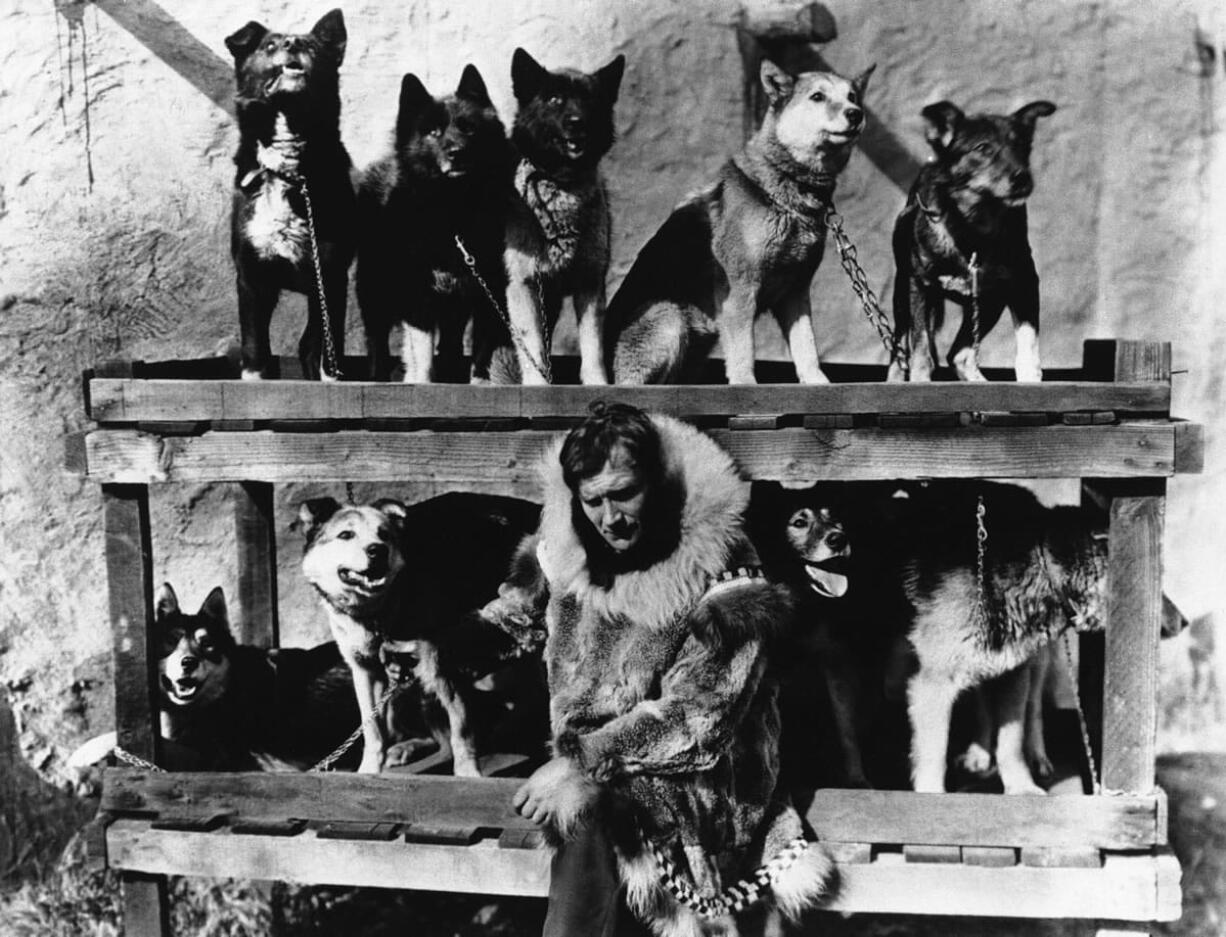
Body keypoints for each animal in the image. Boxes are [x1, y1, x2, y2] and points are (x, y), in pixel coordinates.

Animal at [224, 7, 355, 380]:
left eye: (311, 46)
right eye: (270, 45)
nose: (292, 43)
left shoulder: (331, 274)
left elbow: (329, 348)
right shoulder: (252, 275)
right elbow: (255, 347)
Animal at [296, 493, 541, 770]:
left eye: (383, 535)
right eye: (346, 535)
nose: (377, 550)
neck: (380, 612)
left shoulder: (444, 665)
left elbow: (462, 735)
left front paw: (469, 773)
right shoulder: (366, 671)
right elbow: (373, 733)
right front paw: (369, 770)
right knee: (440, 742)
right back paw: (404, 749)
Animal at [357, 65, 510, 382]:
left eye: (469, 128)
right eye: (433, 132)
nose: (456, 152)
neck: (452, 212)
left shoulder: (488, 290)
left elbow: (481, 353)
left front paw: (478, 382)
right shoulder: (417, 293)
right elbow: (422, 354)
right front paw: (421, 383)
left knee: (450, 344)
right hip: (375, 285)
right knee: (377, 339)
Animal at [490, 46, 627, 385]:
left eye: (589, 99)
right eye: (554, 99)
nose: (577, 122)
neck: (559, 184)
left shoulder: (589, 284)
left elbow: (592, 345)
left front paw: (597, 383)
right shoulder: (523, 284)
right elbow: (532, 346)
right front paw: (538, 385)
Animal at [605, 59, 872, 385]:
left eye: (852, 97)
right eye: (818, 97)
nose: (855, 114)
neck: (787, 189)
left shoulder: (796, 293)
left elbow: (806, 346)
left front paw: (817, 381)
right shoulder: (740, 291)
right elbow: (745, 351)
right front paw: (746, 384)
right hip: (670, 317)